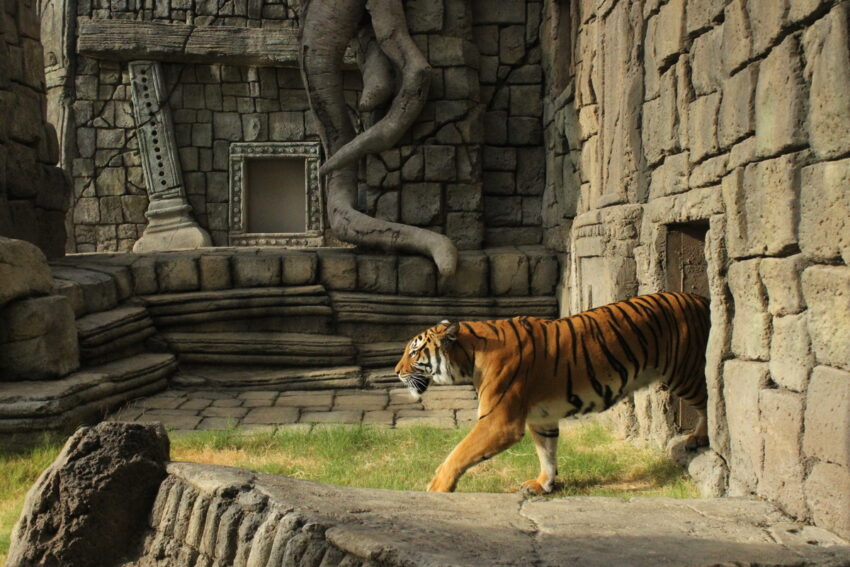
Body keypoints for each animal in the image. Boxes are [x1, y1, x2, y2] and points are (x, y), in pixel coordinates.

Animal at [392, 292, 708, 492]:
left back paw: (699, 438)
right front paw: (543, 484)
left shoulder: (499, 421)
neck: (470, 355)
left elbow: (458, 453)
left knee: (709, 400)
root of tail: (699, 298)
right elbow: (547, 452)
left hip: (685, 372)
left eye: (414, 351)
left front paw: (436, 487)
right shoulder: (541, 417)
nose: (395, 371)